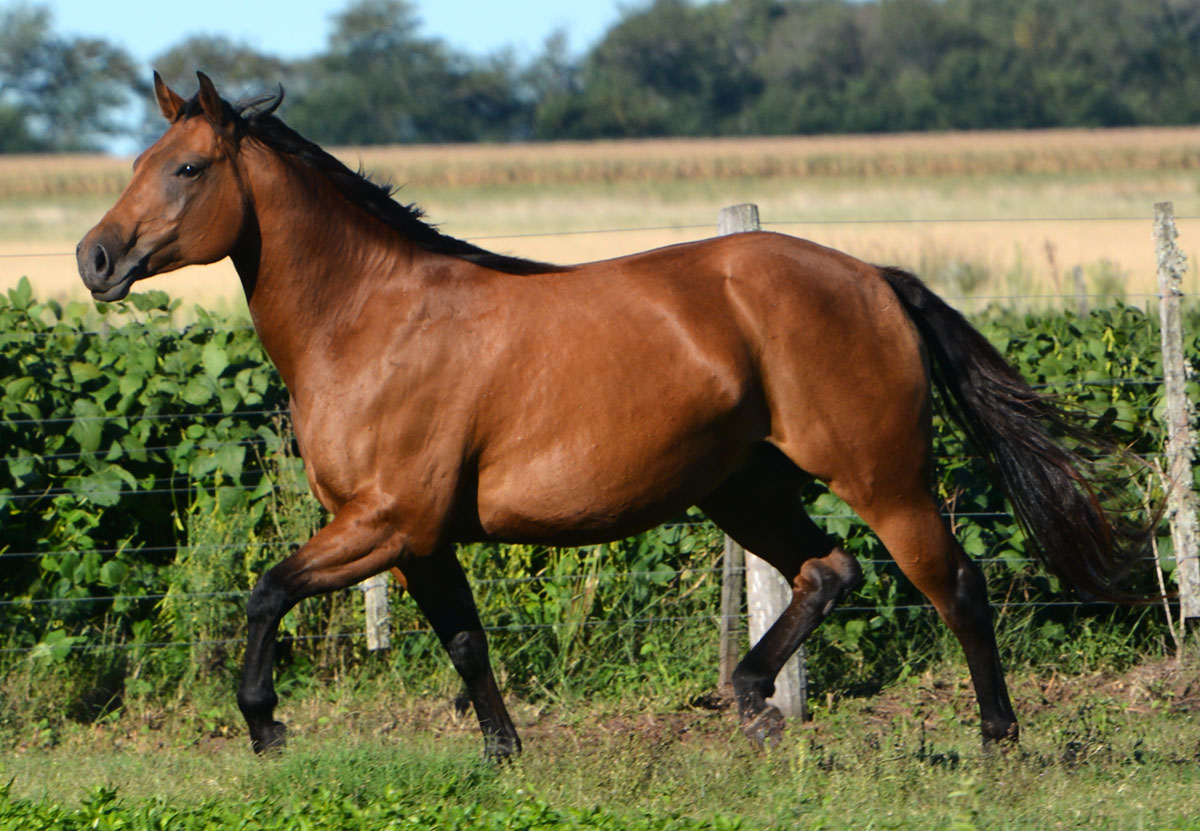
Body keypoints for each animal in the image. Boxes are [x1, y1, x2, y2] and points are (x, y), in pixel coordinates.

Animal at [78, 73, 1152, 760]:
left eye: (186, 169)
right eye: (137, 160)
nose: (95, 258)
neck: (374, 321)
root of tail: (872, 278)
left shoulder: (383, 522)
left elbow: (266, 591)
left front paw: (265, 723)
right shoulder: (422, 538)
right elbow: (465, 643)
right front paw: (504, 754)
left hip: (883, 476)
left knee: (955, 585)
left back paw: (998, 741)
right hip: (741, 486)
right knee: (827, 570)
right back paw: (754, 706)